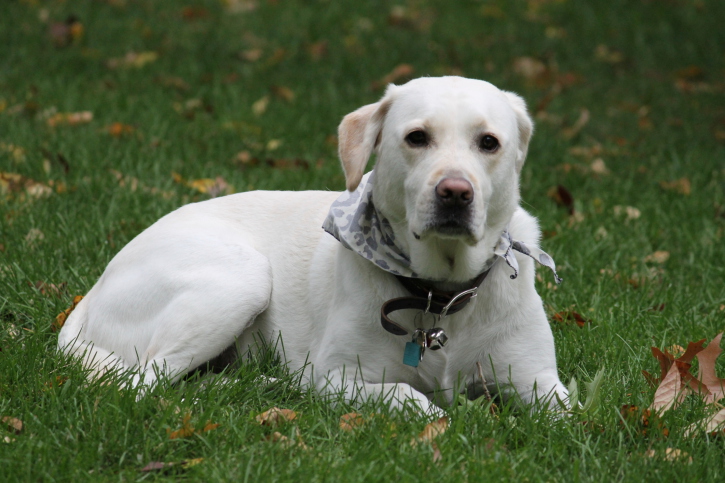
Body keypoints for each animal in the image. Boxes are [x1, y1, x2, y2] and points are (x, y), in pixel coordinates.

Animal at [59, 77, 568, 414]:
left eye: (489, 142)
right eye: (417, 137)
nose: (456, 193)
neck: (438, 293)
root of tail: (94, 289)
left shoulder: (540, 381)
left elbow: (570, 416)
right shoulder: (338, 378)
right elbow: (412, 398)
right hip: (239, 278)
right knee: (145, 383)